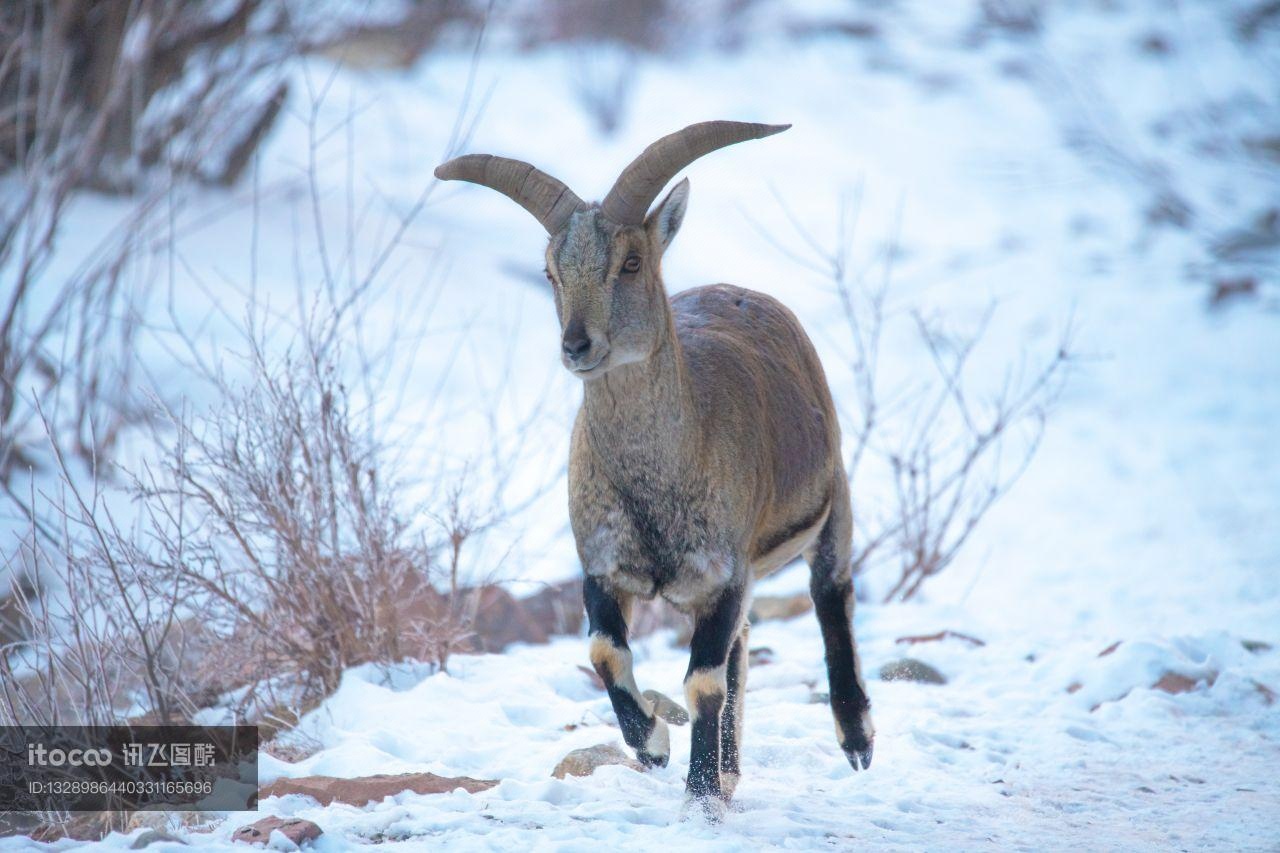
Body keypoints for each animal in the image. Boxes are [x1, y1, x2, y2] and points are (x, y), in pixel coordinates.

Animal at [437, 119, 870, 809]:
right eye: (550, 270)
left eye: (630, 261)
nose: (577, 345)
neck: (656, 482)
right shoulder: (603, 565)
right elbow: (606, 653)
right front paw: (657, 748)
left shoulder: (723, 568)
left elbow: (701, 681)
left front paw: (697, 791)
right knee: (743, 646)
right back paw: (731, 769)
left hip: (831, 503)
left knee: (831, 597)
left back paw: (855, 741)